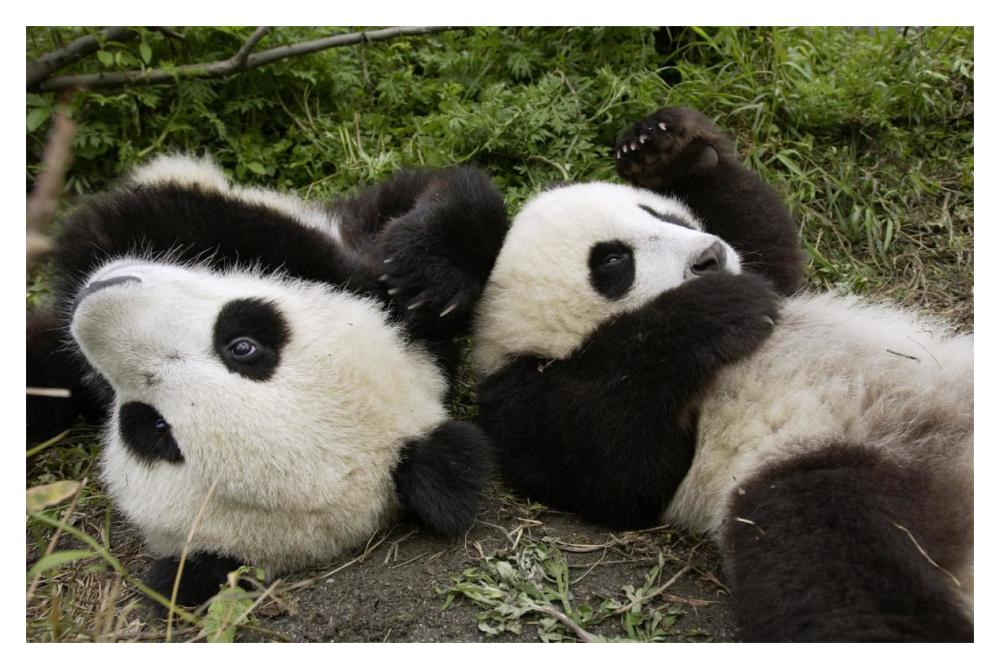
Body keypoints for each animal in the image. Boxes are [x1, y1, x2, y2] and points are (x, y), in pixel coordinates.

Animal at [472, 108, 973, 641]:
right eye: (613, 259)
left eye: (660, 215)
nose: (710, 256)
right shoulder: (523, 397)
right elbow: (617, 470)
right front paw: (714, 309)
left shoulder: (769, 273)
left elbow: (770, 247)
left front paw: (664, 148)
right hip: (821, 471)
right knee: (833, 570)